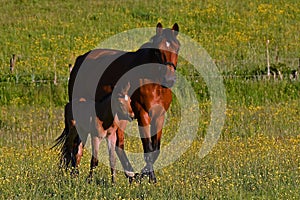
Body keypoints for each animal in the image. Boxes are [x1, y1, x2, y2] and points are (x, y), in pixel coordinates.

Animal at [66, 22, 179, 183]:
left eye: (177, 48)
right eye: (158, 50)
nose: (169, 79)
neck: (153, 82)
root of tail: (79, 61)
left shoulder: (159, 116)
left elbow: (155, 150)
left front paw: (145, 176)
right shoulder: (143, 114)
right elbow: (148, 149)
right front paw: (150, 178)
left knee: (117, 146)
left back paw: (129, 175)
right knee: (78, 143)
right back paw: (74, 174)